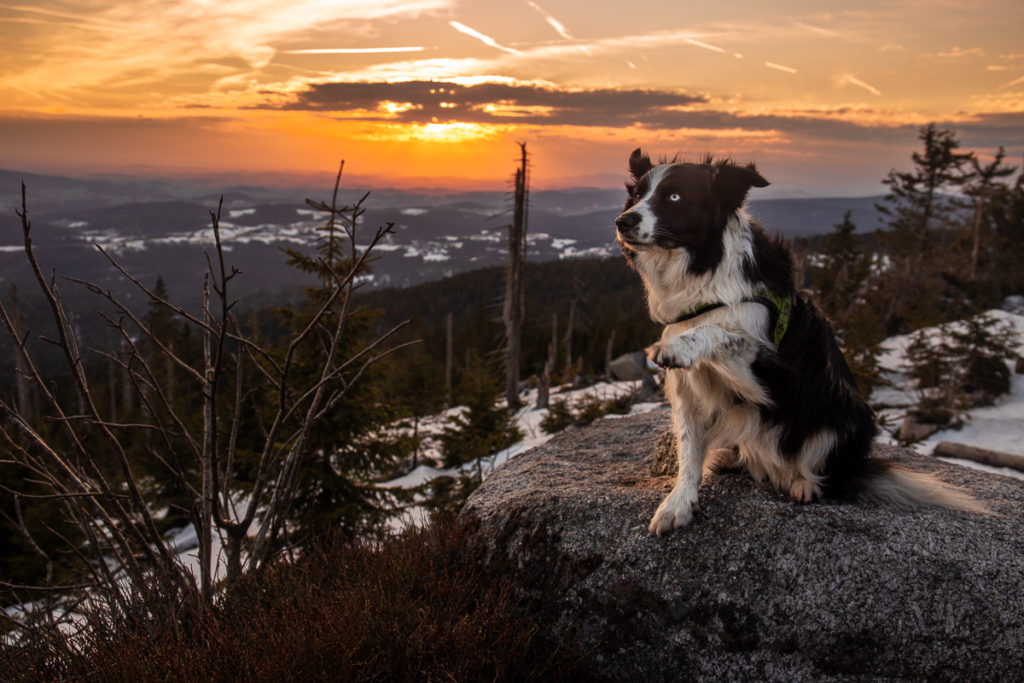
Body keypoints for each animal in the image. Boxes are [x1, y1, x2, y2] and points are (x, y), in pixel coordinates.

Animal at [610, 148, 987, 532]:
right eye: (638, 195)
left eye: (674, 196)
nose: (623, 221)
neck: (706, 276)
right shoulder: (687, 390)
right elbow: (688, 448)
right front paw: (679, 503)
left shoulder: (778, 376)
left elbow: (724, 333)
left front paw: (677, 347)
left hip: (845, 414)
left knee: (822, 468)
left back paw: (805, 484)